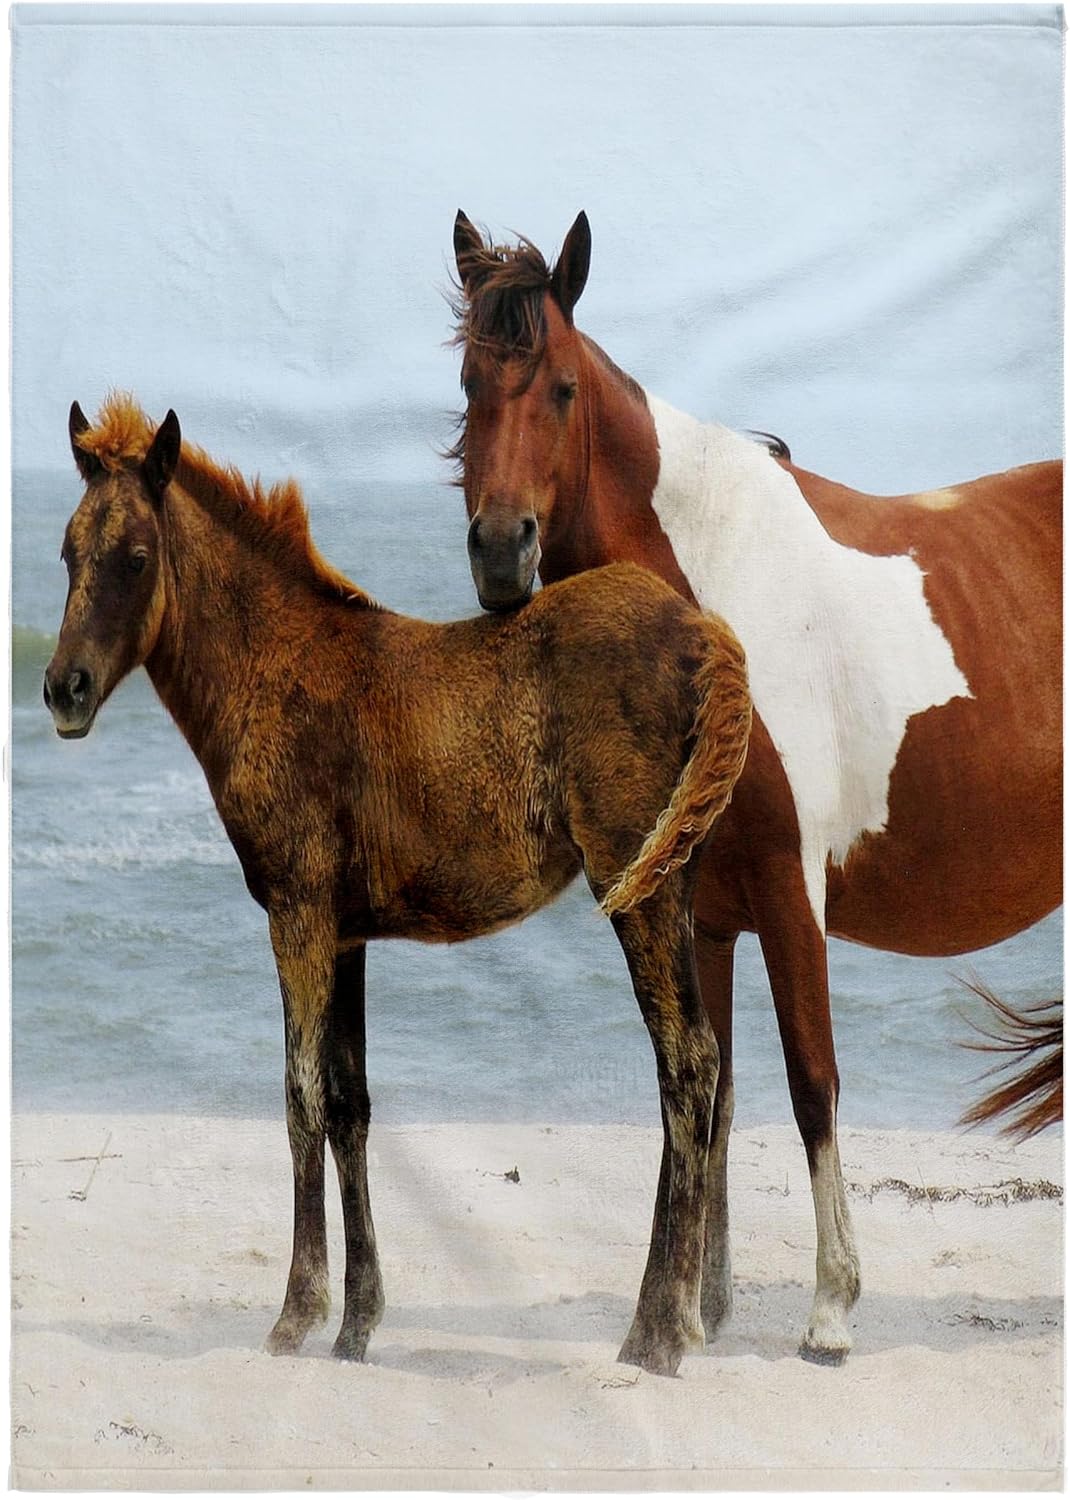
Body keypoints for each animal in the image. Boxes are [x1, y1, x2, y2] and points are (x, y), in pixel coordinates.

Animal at [44, 393, 753, 1378]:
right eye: (67, 551)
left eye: (137, 558)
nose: (61, 690)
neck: (276, 669)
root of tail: (701, 633)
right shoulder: (345, 932)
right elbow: (352, 1104)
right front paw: (357, 1324)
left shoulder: (296, 915)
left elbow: (300, 1094)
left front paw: (296, 1316)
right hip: (670, 883)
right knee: (697, 1066)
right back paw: (675, 1316)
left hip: (636, 887)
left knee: (686, 1062)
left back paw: (656, 1333)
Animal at [449, 210, 1063, 1364]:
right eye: (469, 383)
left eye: (561, 387)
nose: (502, 554)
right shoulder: (702, 910)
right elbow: (709, 1088)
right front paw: (693, 1308)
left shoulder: (790, 893)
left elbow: (809, 1083)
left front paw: (830, 1310)